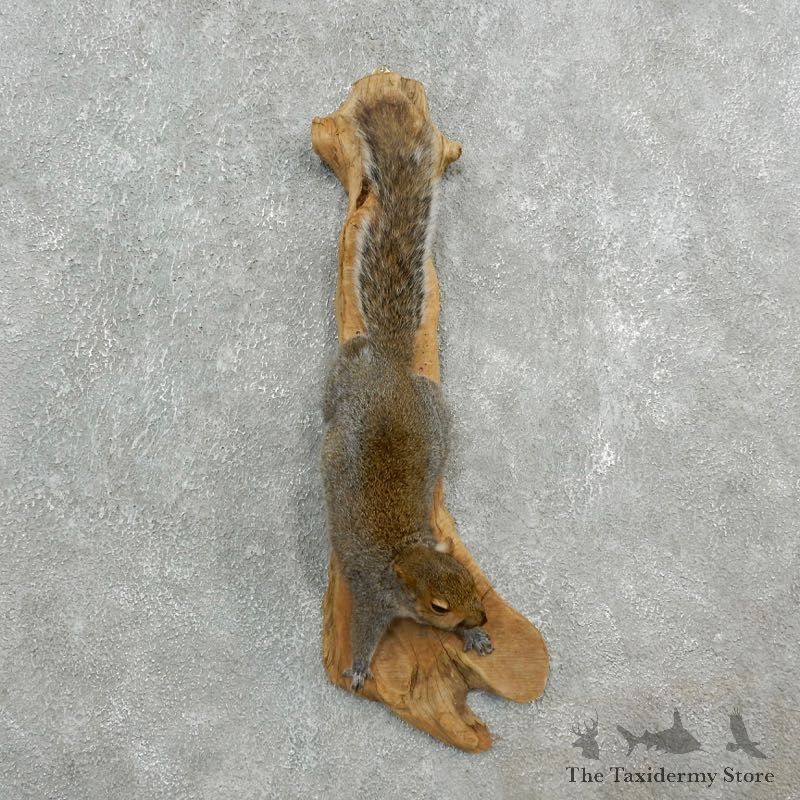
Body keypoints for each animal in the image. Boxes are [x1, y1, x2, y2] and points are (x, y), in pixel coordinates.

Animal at [321, 92, 493, 692]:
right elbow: (367, 631)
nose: (482, 617)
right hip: (349, 389)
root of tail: (393, 369)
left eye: (470, 579)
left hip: (436, 410)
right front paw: (358, 667)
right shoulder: (372, 599)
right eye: (439, 605)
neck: (406, 555)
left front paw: (475, 641)